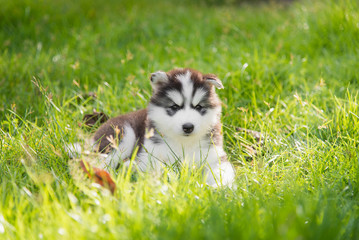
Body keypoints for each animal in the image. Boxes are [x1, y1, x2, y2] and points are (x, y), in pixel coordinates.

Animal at [93, 68, 236, 187]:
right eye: (174, 107)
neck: (184, 142)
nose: (188, 127)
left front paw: (220, 188)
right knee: (104, 161)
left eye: (198, 107)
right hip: (123, 135)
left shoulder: (214, 156)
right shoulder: (151, 154)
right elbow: (161, 167)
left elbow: (221, 173)